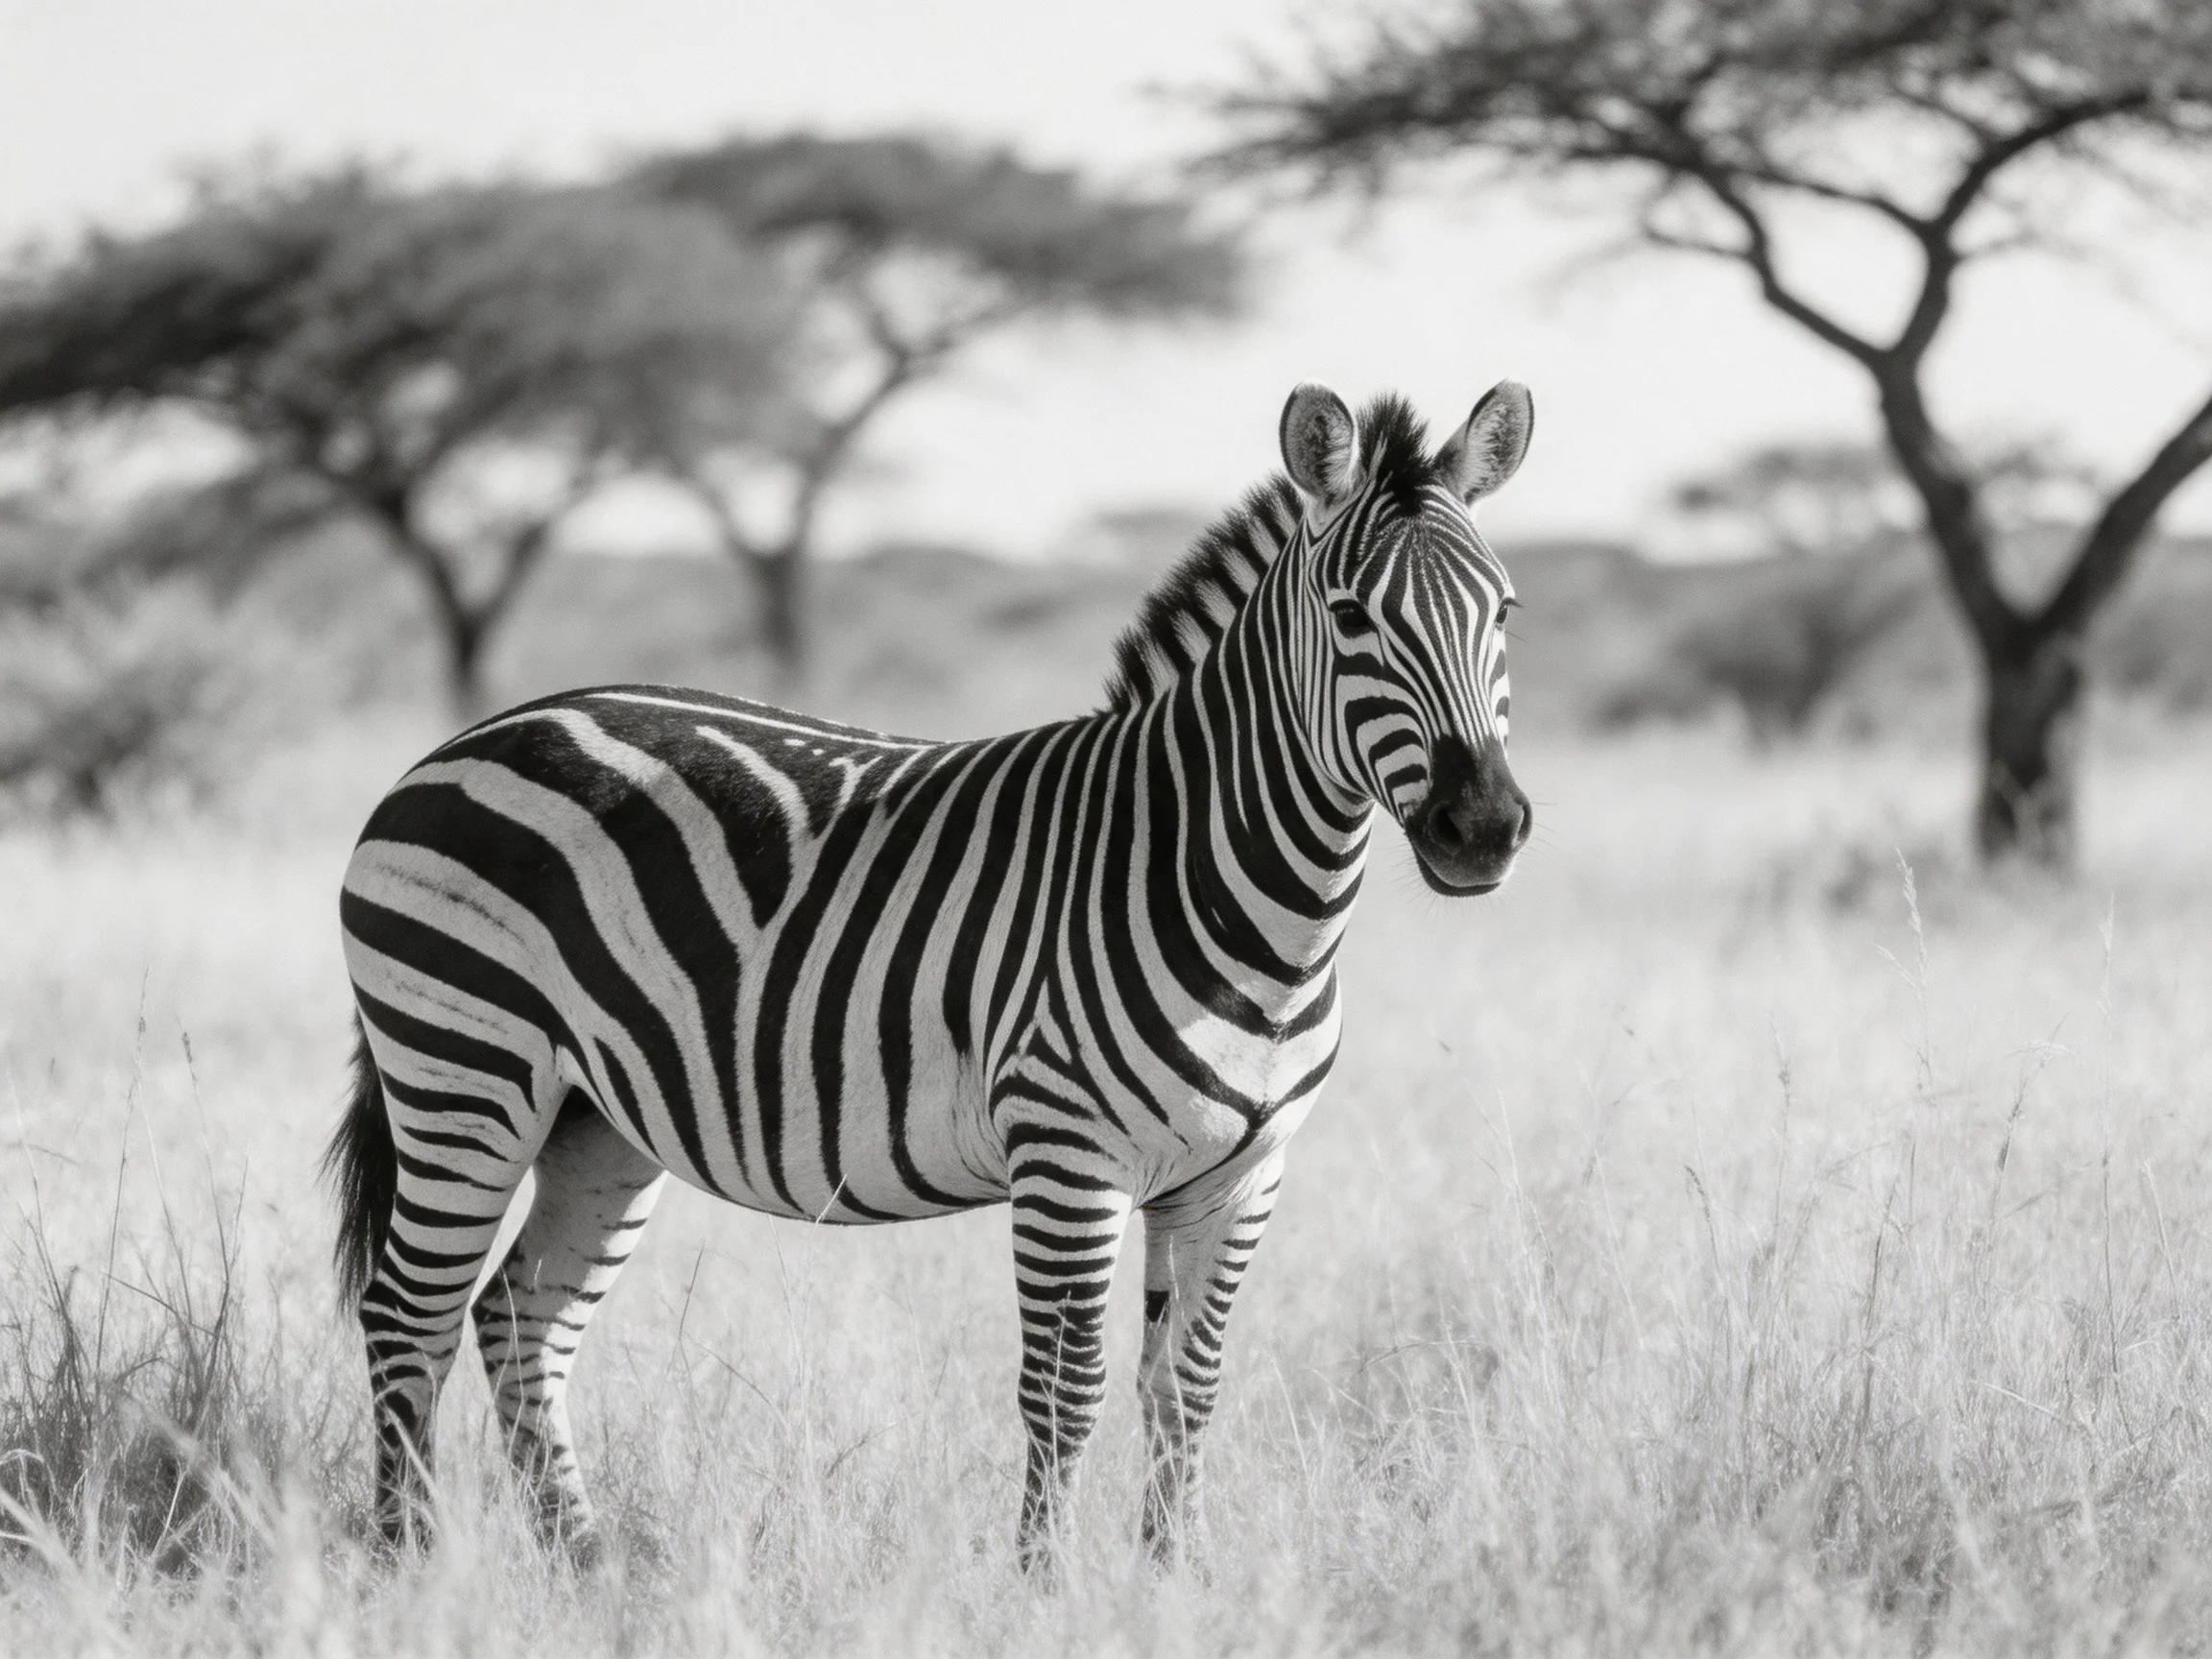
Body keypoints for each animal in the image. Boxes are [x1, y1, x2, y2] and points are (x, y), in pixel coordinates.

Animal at [326, 378, 1536, 1567]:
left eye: (1505, 613)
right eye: (1351, 616)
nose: (1483, 828)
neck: (1231, 900)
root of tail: (470, 737)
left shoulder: (1239, 1176)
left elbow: (1186, 1388)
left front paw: (1176, 1580)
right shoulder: (1068, 1156)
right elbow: (1067, 1392)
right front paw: (1045, 1587)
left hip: (596, 1119)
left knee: (518, 1319)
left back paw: (584, 1566)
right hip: (464, 1070)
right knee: (409, 1315)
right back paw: (410, 1564)